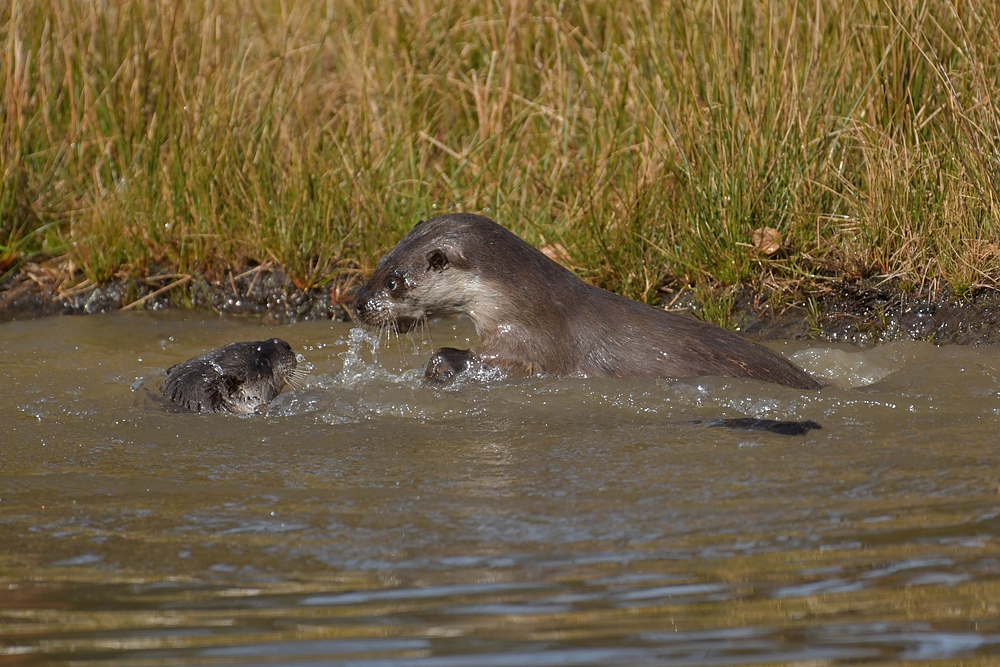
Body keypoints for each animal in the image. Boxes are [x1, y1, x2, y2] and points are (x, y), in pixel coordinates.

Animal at [356, 213, 824, 392]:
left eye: (394, 282)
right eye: (378, 263)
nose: (360, 304)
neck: (523, 302)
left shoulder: (532, 343)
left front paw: (439, 367)